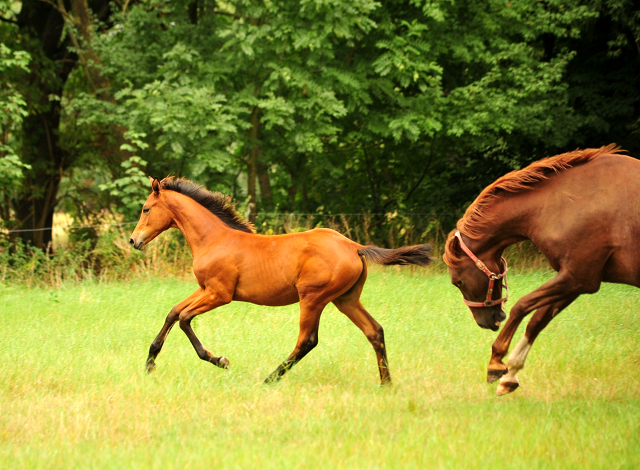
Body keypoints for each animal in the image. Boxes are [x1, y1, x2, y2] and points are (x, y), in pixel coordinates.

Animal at [129, 176, 432, 386]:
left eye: (146, 209)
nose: (134, 240)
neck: (214, 239)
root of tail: (354, 246)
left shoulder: (219, 294)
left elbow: (184, 319)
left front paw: (220, 360)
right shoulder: (205, 289)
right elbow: (173, 313)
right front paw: (150, 363)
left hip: (313, 298)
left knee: (307, 340)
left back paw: (269, 379)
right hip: (345, 299)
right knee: (374, 331)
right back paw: (386, 383)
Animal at [442, 145, 640, 394]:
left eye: (457, 282)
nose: (487, 322)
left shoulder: (577, 277)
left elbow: (521, 306)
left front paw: (496, 362)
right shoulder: (574, 281)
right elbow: (538, 320)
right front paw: (511, 374)